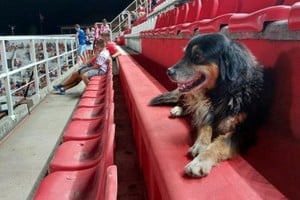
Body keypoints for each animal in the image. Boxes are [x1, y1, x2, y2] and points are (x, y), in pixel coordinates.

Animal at [149, 33, 268, 178]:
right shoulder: (205, 111)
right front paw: (200, 144)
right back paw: (178, 109)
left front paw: (201, 161)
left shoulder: (243, 130)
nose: (169, 71)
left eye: (197, 56)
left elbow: (220, 143)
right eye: (185, 54)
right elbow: (206, 126)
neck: (224, 92)